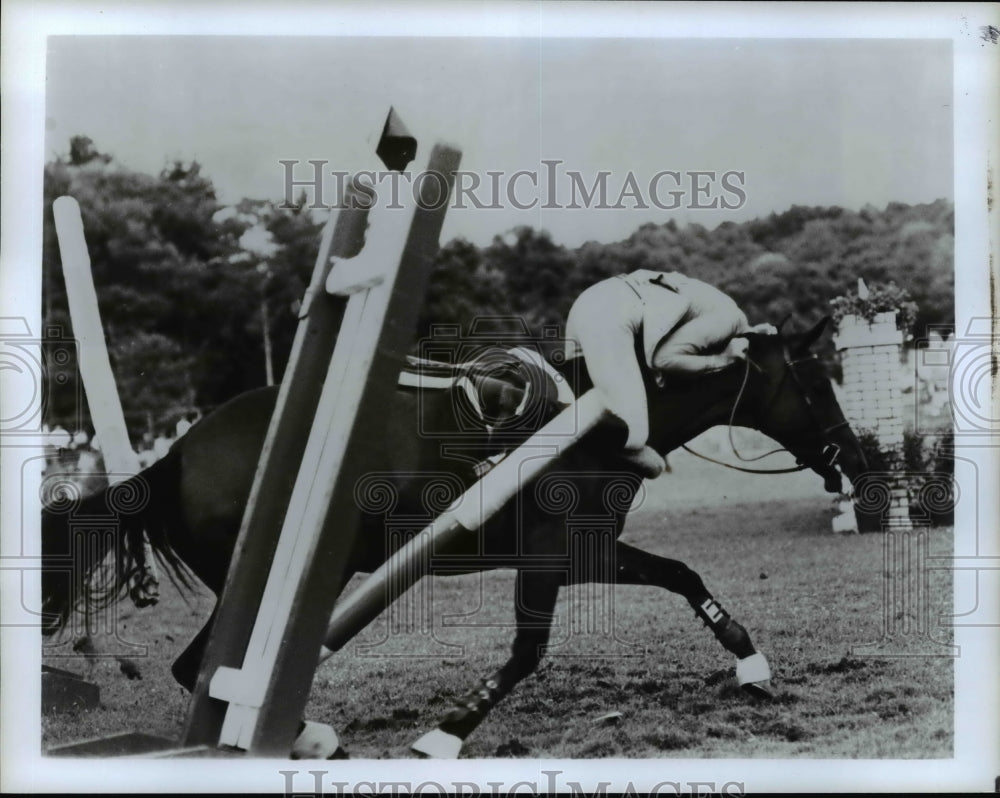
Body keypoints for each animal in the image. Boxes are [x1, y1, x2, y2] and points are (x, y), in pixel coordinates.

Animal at [39, 318, 868, 756]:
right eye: (816, 382)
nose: (853, 458)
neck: (599, 423)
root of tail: (176, 455)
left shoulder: (584, 553)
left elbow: (684, 576)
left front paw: (751, 664)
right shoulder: (546, 558)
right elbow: (528, 651)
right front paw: (447, 733)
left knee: (202, 670)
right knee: (202, 669)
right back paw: (310, 734)